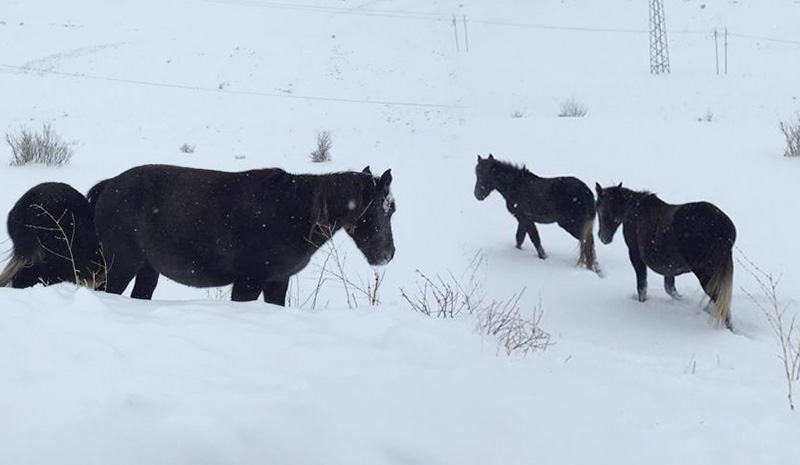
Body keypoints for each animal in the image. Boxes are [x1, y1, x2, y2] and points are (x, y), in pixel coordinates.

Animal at [88, 164, 396, 304]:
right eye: (383, 209)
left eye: (391, 209)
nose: (387, 255)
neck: (294, 213)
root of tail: (109, 185)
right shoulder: (249, 282)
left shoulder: (277, 282)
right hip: (121, 266)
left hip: (146, 270)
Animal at [592, 182, 736, 330]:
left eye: (598, 208)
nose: (603, 237)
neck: (633, 211)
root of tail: (725, 230)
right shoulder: (669, 268)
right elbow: (670, 289)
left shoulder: (636, 257)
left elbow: (642, 287)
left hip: (706, 275)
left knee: (720, 303)